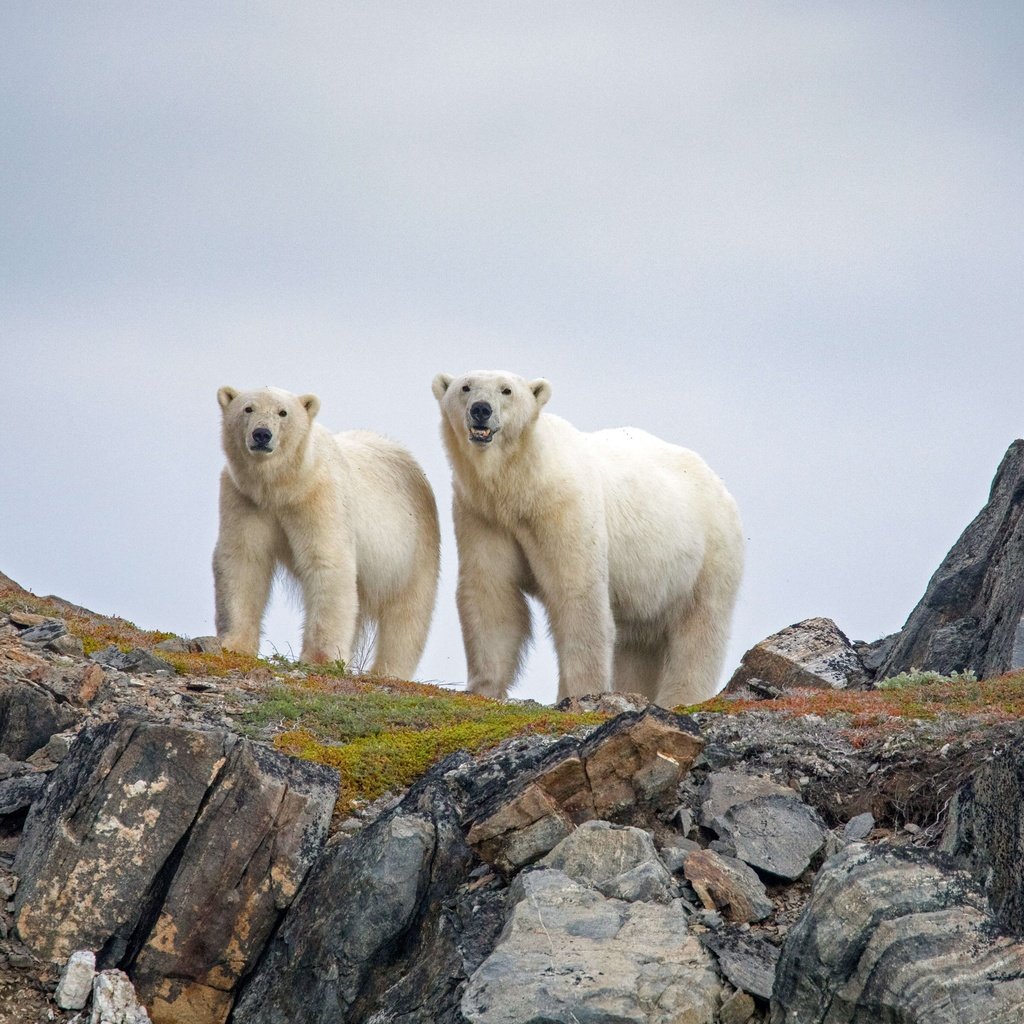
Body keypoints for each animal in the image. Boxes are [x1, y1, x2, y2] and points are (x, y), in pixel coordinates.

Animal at [214, 387, 438, 675]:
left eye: (283, 412)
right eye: (248, 408)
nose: (262, 434)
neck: (282, 487)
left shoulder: (319, 496)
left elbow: (327, 563)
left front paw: (319, 659)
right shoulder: (245, 498)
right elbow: (243, 560)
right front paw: (233, 644)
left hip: (413, 548)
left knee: (408, 614)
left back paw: (386, 670)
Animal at [432, 372, 745, 708]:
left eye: (507, 390)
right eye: (465, 387)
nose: (481, 409)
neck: (522, 484)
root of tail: (717, 483)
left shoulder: (564, 506)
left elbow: (578, 594)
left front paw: (581, 693)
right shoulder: (483, 515)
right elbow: (491, 592)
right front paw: (483, 688)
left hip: (708, 555)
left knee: (699, 630)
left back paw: (680, 698)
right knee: (638, 644)